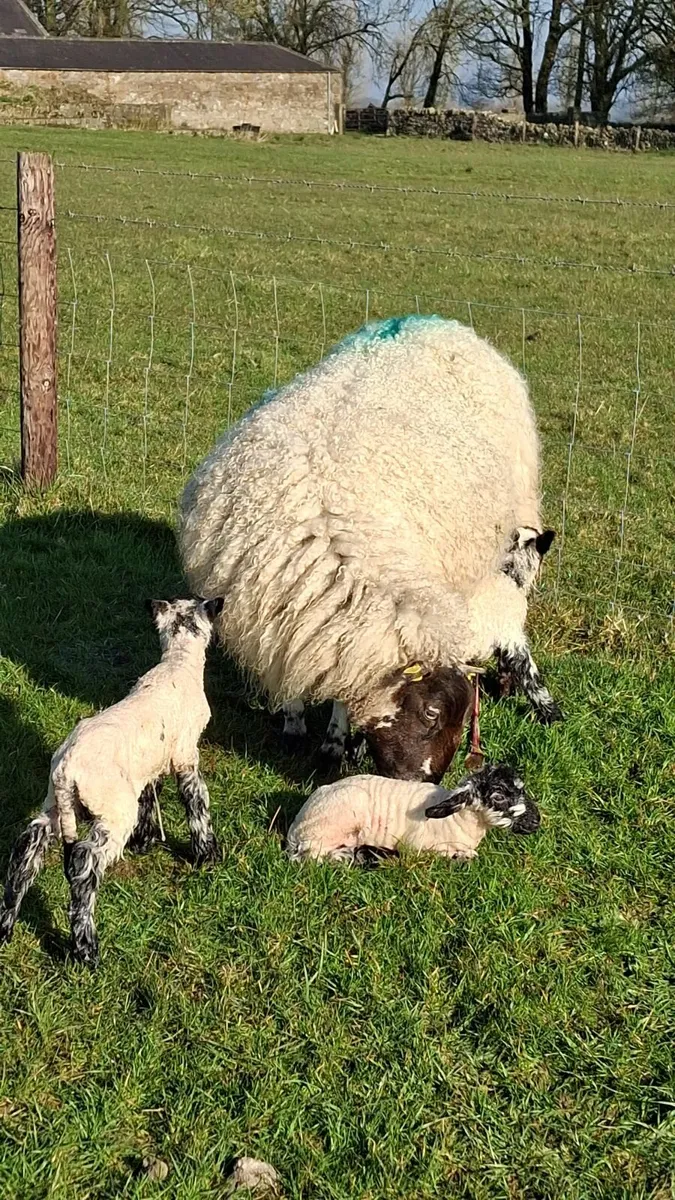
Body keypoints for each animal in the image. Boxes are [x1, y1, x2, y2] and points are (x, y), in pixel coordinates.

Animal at [0, 597, 223, 966]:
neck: (177, 662)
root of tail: (66, 770)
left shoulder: (147, 766)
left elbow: (150, 796)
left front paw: (145, 840)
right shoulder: (185, 756)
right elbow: (197, 805)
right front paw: (208, 854)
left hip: (57, 806)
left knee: (26, 851)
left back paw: (5, 927)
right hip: (112, 812)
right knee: (83, 865)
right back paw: (85, 949)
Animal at [178, 314, 560, 784]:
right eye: (431, 712)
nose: (424, 788)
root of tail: (431, 319)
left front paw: (335, 743)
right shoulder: (280, 618)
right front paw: (295, 724)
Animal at [286, 764, 540, 865]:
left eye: (522, 789)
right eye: (498, 797)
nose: (536, 822)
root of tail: (296, 829)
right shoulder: (419, 847)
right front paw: (461, 856)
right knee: (313, 855)